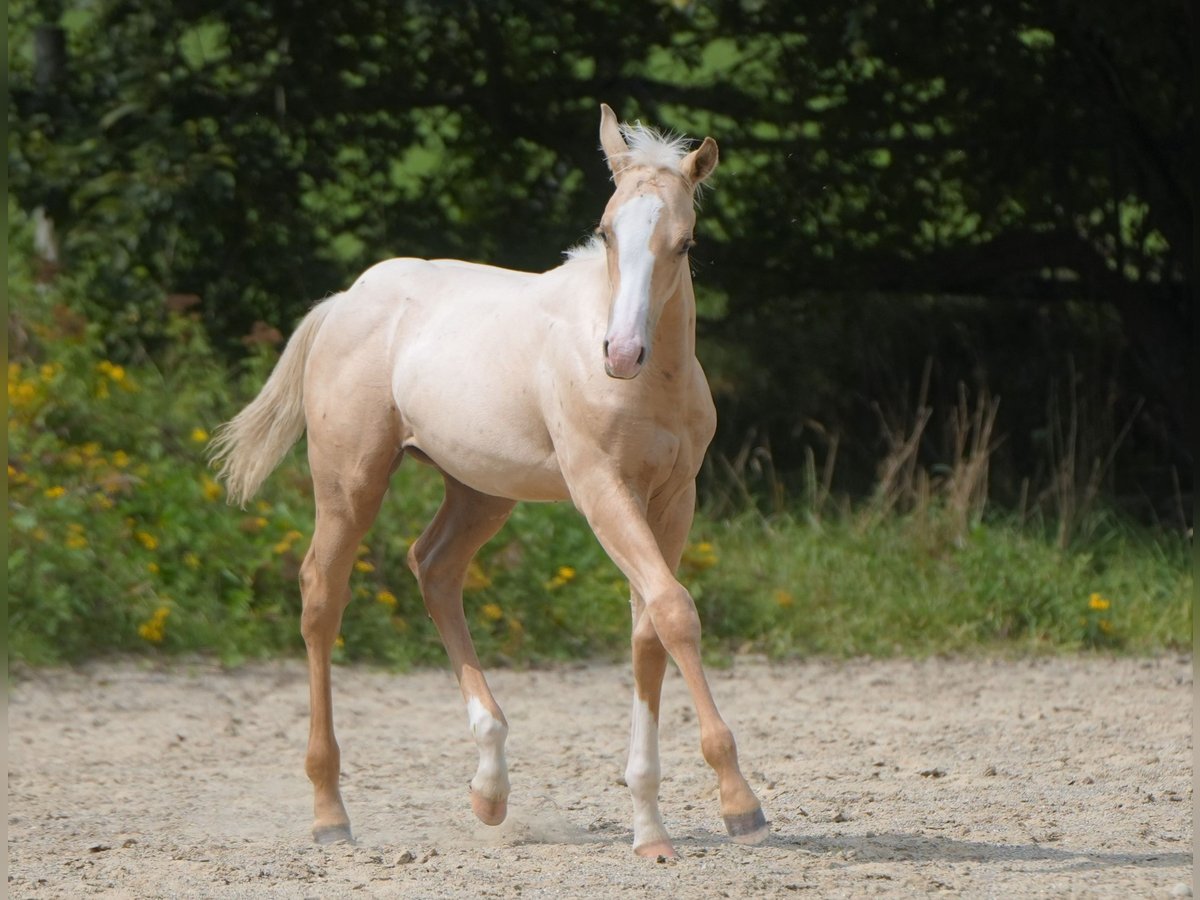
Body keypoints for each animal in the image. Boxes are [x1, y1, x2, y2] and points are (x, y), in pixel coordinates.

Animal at [210, 103, 768, 858]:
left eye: (684, 243)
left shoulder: (674, 498)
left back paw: (490, 788)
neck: (652, 385)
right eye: (606, 230)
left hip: (480, 491)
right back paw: (330, 811)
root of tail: (345, 299)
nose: (621, 353)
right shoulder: (601, 488)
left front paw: (651, 830)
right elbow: (676, 611)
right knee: (322, 594)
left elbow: (651, 629)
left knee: (434, 568)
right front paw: (740, 802)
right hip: (351, 479)